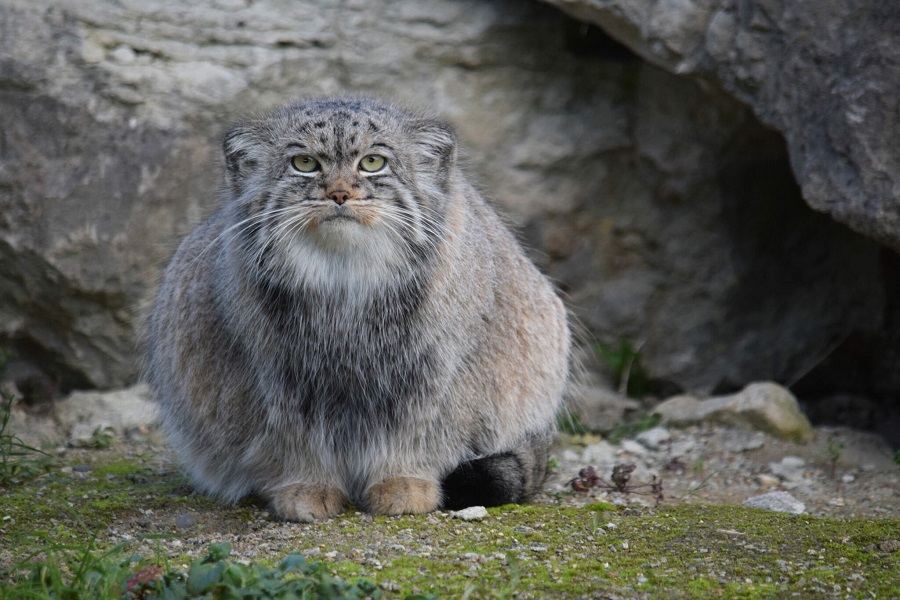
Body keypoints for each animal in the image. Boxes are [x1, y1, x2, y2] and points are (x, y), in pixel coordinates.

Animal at [147, 98, 568, 520]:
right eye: (304, 163)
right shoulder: (279, 372)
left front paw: (402, 480)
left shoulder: (429, 368)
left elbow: (415, 428)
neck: (344, 281)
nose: (339, 194)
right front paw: (307, 485)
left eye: (372, 162)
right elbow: (295, 435)